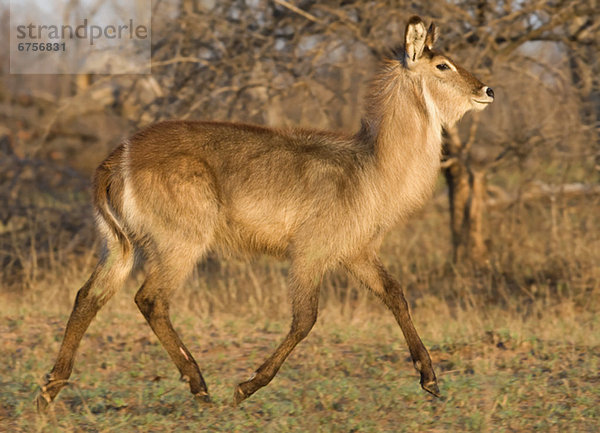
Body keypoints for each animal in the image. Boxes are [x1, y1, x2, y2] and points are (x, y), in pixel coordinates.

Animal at [37, 15, 494, 410]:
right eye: (443, 64)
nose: (488, 90)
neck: (371, 168)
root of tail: (116, 159)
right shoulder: (310, 252)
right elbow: (305, 318)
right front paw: (247, 386)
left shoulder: (356, 251)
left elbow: (396, 294)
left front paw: (430, 379)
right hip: (182, 242)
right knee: (150, 299)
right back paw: (200, 387)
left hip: (119, 244)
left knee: (88, 296)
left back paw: (49, 390)